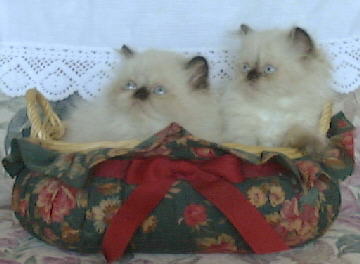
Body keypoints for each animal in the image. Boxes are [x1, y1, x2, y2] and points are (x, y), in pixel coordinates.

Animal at [221, 25, 336, 155]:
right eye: (245, 67)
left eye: (269, 69)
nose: (250, 75)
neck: (273, 109)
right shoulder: (241, 135)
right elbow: (246, 145)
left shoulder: (296, 128)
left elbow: (302, 135)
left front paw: (317, 148)